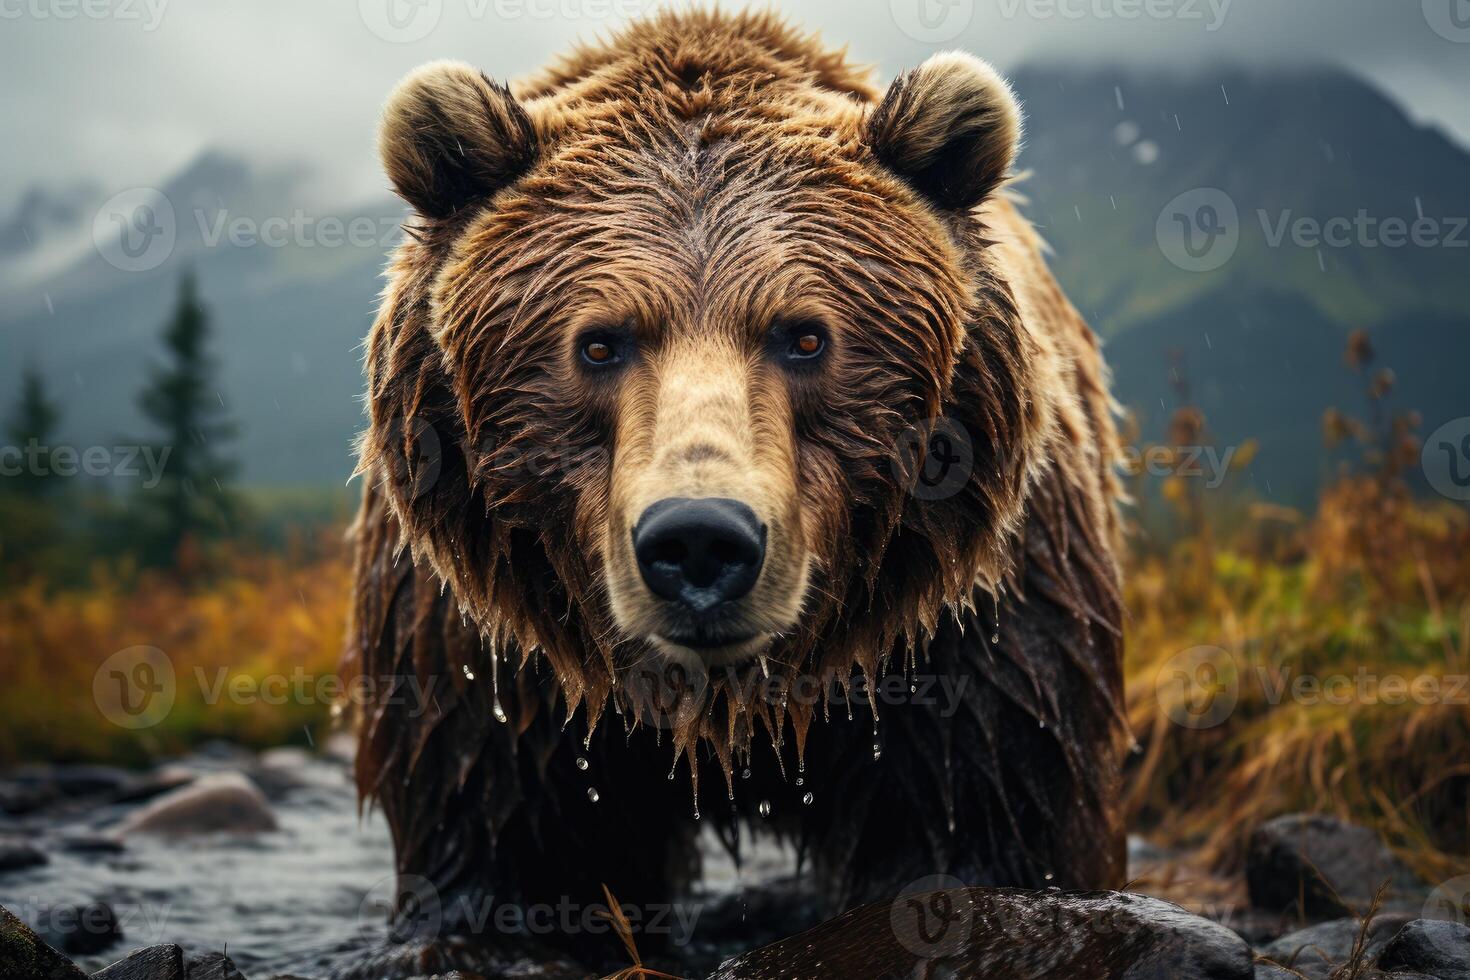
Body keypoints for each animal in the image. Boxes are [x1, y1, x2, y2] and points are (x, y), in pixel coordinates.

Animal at [343, 5, 1123, 963]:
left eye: (805, 336)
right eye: (598, 342)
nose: (700, 539)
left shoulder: (978, 632)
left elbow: (987, 809)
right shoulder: (482, 664)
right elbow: (509, 846)